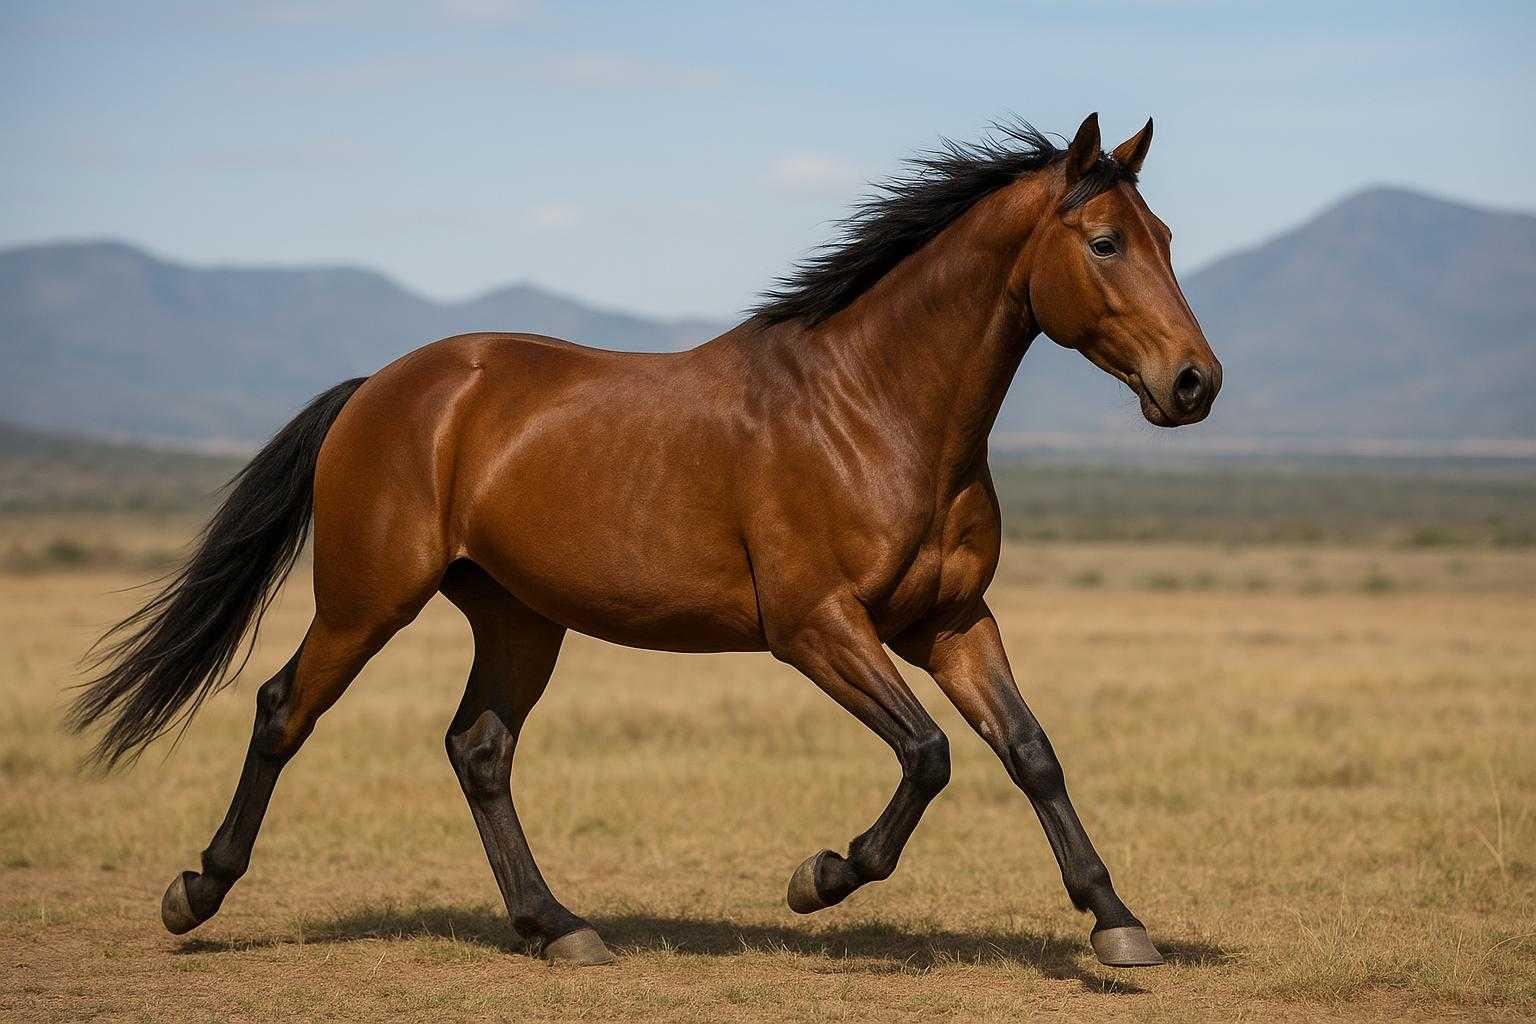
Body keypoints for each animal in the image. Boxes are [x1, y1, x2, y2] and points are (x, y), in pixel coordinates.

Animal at [72, 113, 1221, 968]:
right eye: (1105, 242)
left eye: (1167, 237)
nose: (1195, 384)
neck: (875, 409)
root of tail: (382, 389)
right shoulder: (815, 627)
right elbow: (929, 754)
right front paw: (819, 877)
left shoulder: (950, 621)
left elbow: (1030, 752)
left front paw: (1116, 922)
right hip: (366, 598)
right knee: (284, 710)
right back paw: (195, 892)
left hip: (517, 616)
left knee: (478, 749)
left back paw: (557, 927)